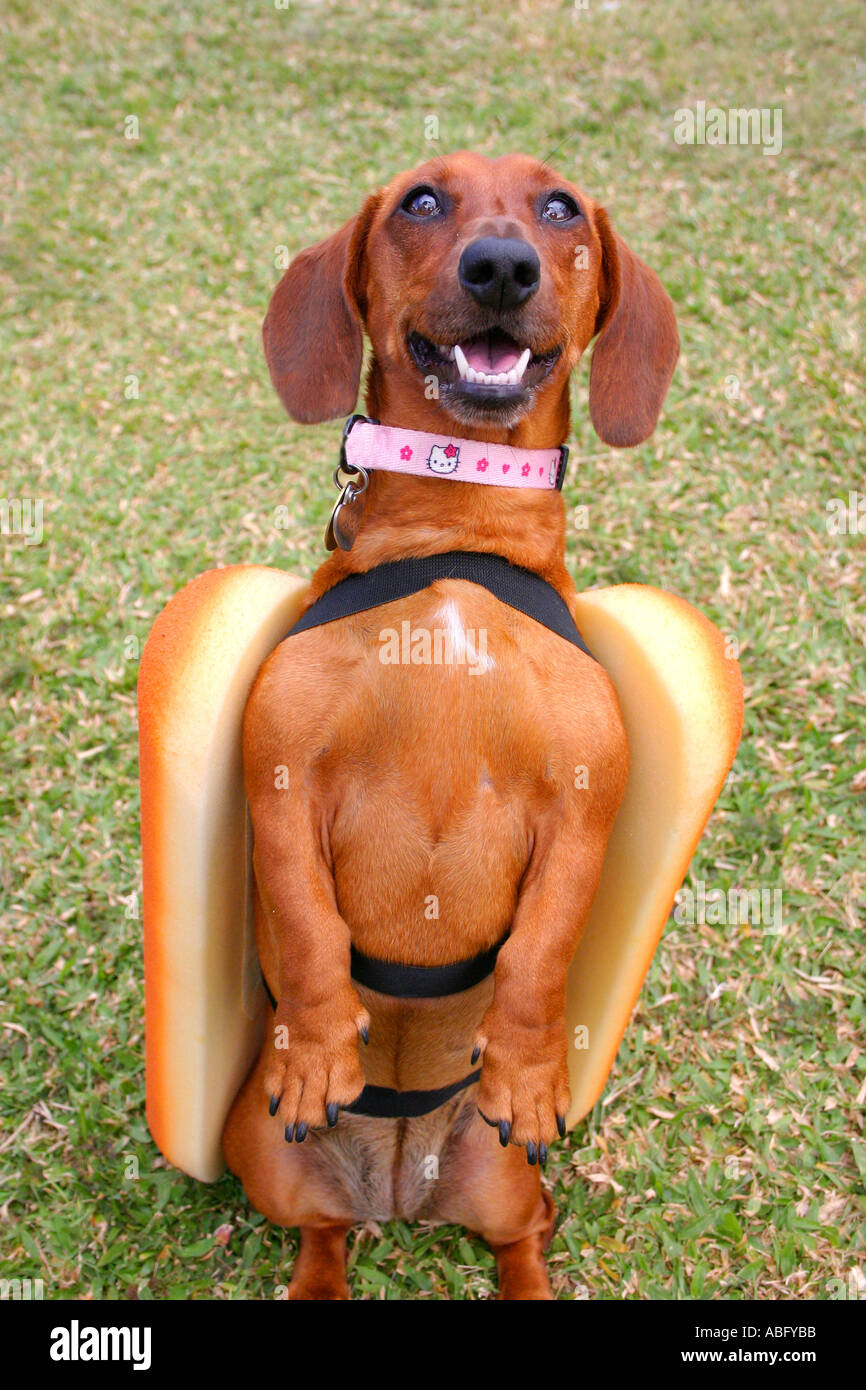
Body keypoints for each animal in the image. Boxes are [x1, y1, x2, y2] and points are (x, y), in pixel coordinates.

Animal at [222, 146, 678, 1295]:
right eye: (422, 201)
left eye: (559, 207)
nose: (502, 266)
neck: (457, 536)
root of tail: (402, 1188)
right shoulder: (280, 782)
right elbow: (310, 929)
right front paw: (321, 1045)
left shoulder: (582, 813)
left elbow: (538, 952)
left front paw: (522, 1066)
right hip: (265, 1159)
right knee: (322, 1233)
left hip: (510, 1184)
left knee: (522, 1237)